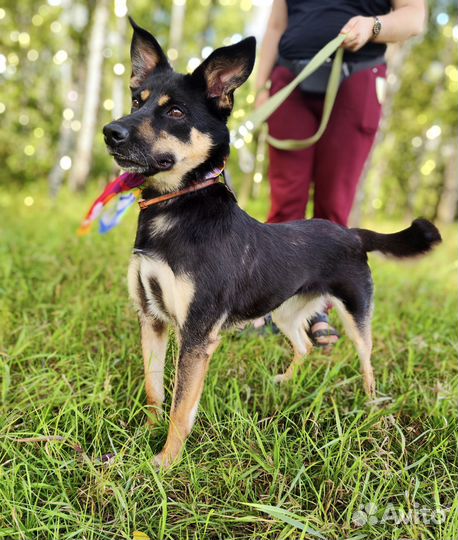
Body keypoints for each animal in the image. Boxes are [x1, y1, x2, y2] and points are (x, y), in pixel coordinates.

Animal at [103, 19, 440, 466]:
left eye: (175, 111)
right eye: (136, 100)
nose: (111, 132)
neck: (176, 206)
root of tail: (350, 232)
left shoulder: (197, 335)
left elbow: (180, 406)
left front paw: (165, 462)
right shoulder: (152, 317)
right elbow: (154, 389)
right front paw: (143, 437)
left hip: (355, 312)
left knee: (367, 359)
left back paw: (371, 407)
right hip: (285, 311)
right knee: (305, 346)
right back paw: (285, 381)